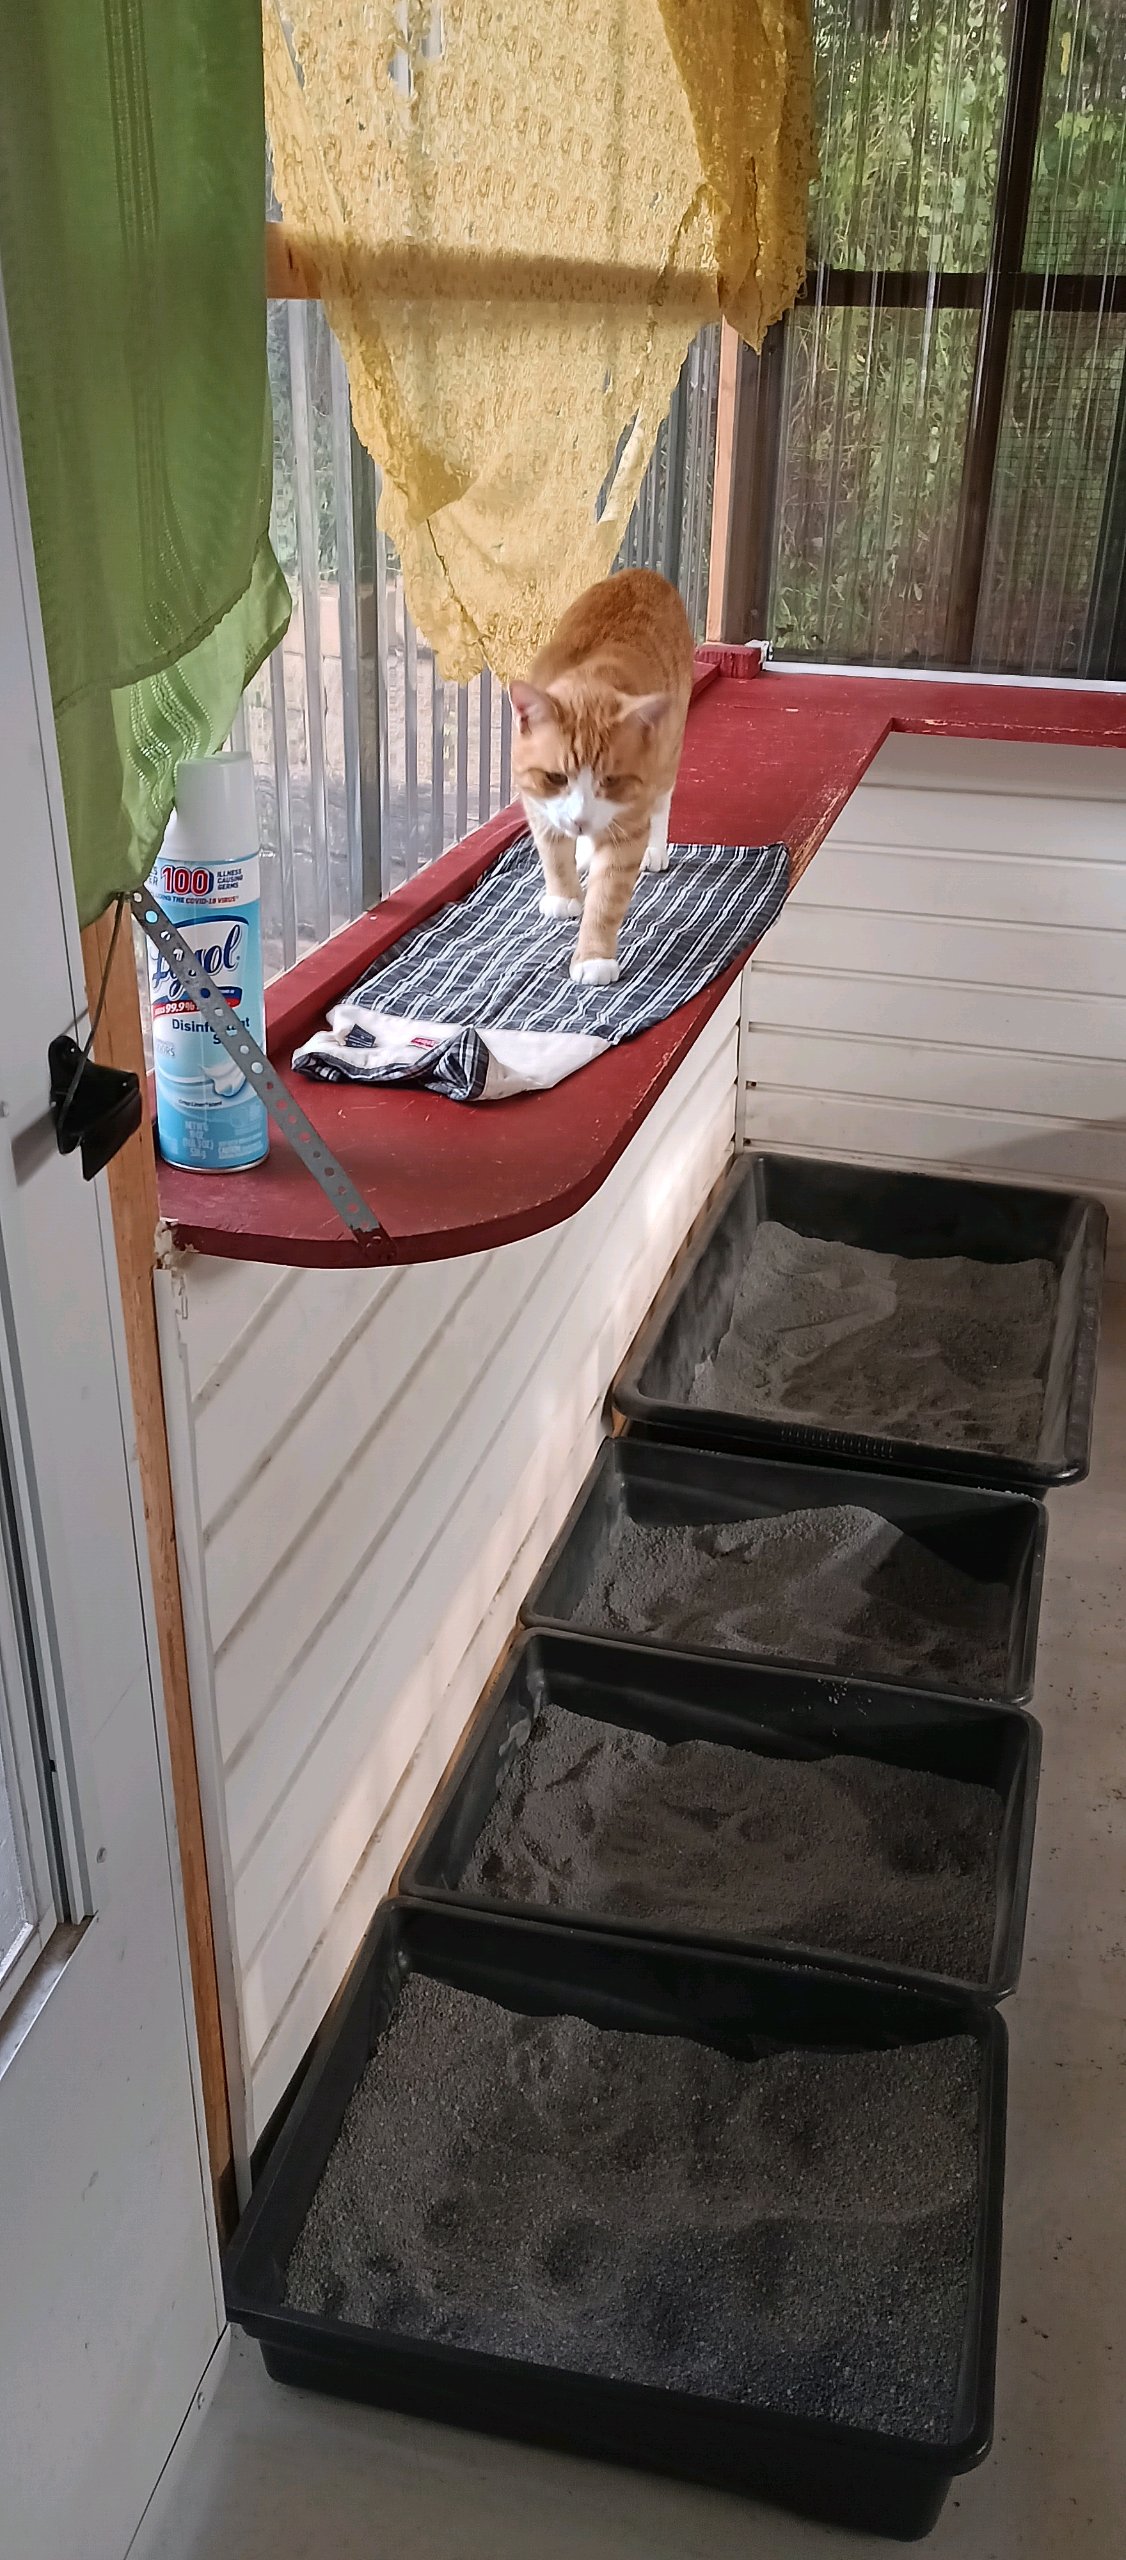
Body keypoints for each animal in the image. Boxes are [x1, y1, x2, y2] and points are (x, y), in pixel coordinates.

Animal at [509, 568, 695, 985]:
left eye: (610, 781)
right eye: (555, 777)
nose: (579, 819)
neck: (589, 680)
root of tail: (645, 573)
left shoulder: (628, 828)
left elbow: (606, 897)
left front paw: (594, 957)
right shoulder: (537, 804)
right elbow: (553, 854)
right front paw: (564, 895)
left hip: (669, 754)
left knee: (663, 802)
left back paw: (653, 850)